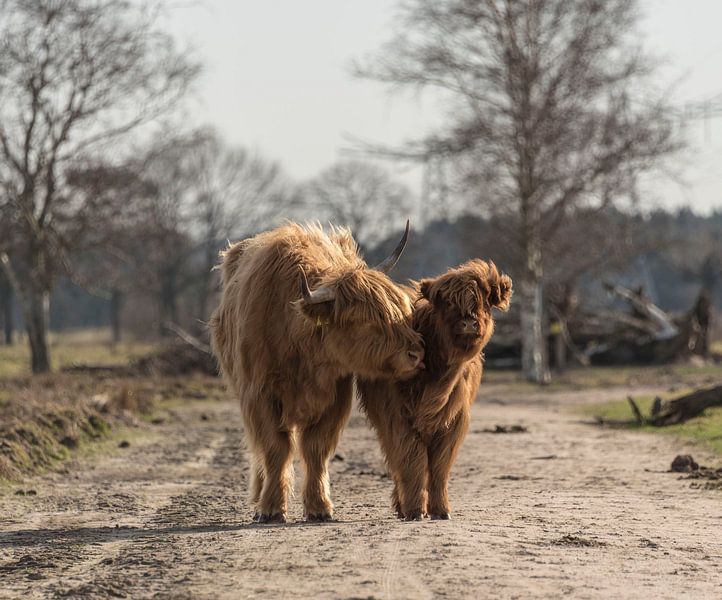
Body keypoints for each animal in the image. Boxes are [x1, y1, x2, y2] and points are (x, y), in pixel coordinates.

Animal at [208, 223, 422, 524]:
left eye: (401, 309)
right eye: (366, 320)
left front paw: (319, 506)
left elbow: (316, 449)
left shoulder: (336, 397)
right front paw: (271, 507)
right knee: (260, 448)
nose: (417, 352)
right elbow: (275, 448)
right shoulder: (259, 395)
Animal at [358, 260, 506, 516]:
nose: (468, 323)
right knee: (396, 460)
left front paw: (440, 509)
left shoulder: (454, 419)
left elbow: (439, 466)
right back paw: (402, 505)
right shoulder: (397, 417)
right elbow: (412, 461)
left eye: (483, 302)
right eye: (449, 303)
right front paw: (415, 509)